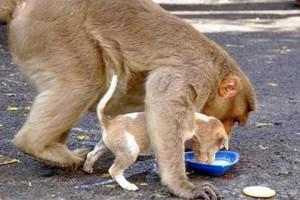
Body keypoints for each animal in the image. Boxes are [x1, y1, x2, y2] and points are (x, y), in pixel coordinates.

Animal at [83, 74, 229, 191]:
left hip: (104, 145)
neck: (197, 121)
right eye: (219, 146)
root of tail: (109, 122)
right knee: (114, 170)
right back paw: (128, 185)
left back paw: (87, 168)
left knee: (92, 154)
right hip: (130, 150)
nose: (211, 162)